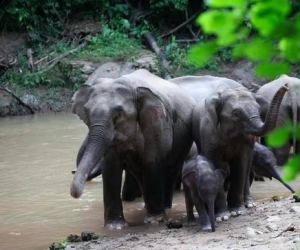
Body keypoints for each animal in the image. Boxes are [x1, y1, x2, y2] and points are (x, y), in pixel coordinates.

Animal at [71, 68, 196, 229]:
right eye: (86, 112)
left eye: (118, 113)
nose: (75, 194)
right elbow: (111, 166)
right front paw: (114, 226)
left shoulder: (157, 123)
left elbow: (151, 160)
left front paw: (155, 221)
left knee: (171, 169)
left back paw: (165, 208)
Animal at [170, 75, 290, 219]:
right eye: (236, 113)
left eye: (258, 108)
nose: (285, 86)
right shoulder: (208, 131)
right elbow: (215, 163)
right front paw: (222, 216)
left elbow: (240, 164)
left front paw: (237, 211)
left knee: (247, 167)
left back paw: (249, 204)